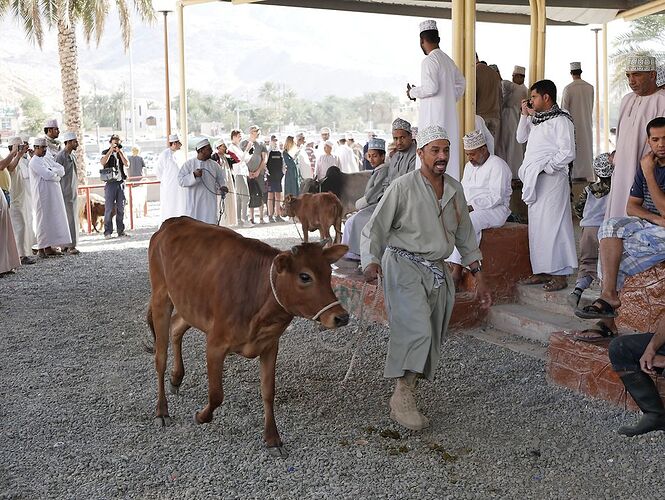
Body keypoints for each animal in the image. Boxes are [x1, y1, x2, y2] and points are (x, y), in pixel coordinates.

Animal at [147, 217, 350, 458]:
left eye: (329, 273)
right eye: (304, 276)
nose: (342, 317)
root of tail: (172, 222)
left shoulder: (270, 345)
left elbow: (268, 391)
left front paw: (273, 439)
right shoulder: (215, 343)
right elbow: (216, 394)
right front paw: (201, 416)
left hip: (189, 306)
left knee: (176, 327)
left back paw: (176, 379)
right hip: (161, 296)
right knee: (160, 357)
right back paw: (162, 411)